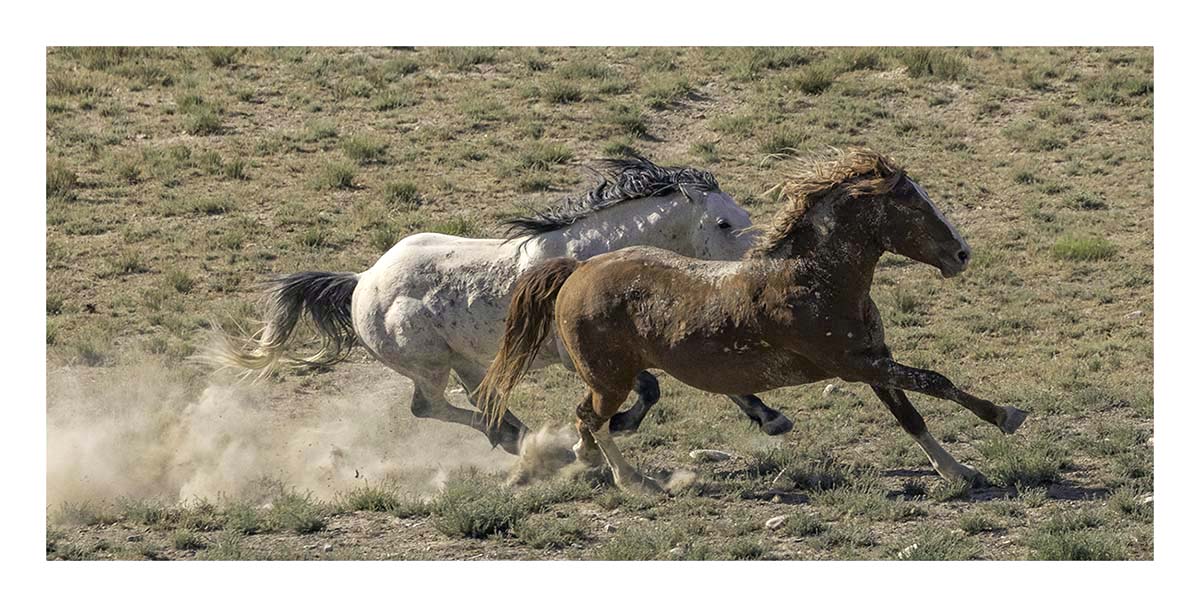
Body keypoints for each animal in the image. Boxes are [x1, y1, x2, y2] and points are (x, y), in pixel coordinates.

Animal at [208, 157, 795, 454]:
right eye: (722, 222)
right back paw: (519, 439)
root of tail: (360, 284)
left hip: (468, 360)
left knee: (482, 397)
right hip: (431, 365)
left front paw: (772, 419)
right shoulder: (588, 358)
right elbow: (648, 389)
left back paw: (520, 436)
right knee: (429, 407)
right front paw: (617, 428)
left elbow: (710, 385)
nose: (760, 267)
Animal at [476, 148, 1029, 493]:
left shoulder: (875, 359)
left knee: (587, 420)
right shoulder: (855, 365)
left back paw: (587, 463)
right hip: (609, 378)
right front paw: (1007, 416)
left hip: (606, 378)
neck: (814, 280)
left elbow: (911, 414)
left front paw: (959, 471)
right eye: (911, 203)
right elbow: (935, 380)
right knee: (591, 418)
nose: (961, 254)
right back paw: (637, 482)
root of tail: (579, 269)